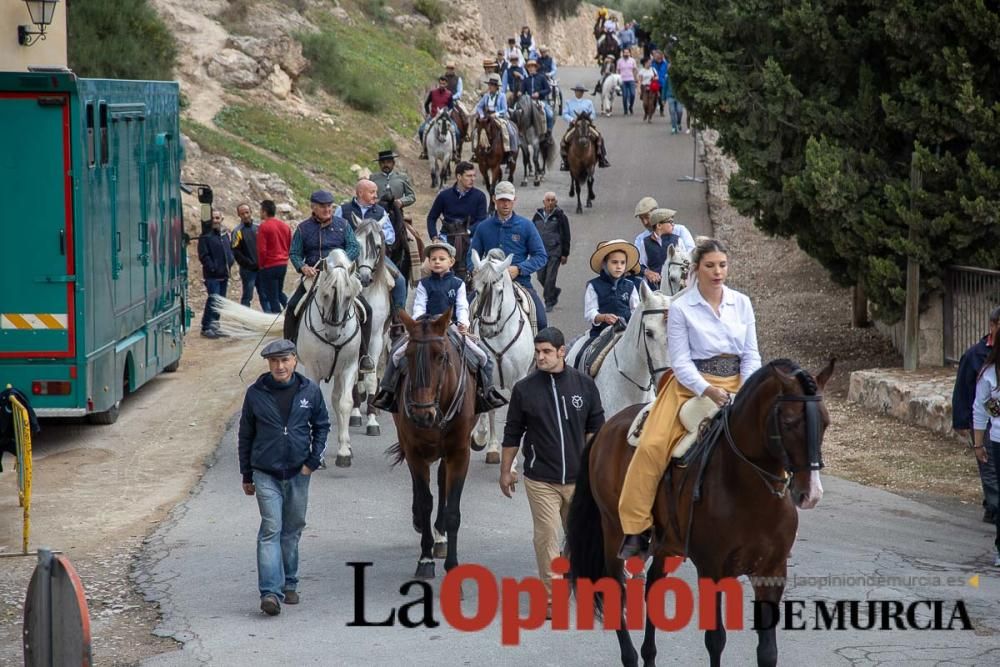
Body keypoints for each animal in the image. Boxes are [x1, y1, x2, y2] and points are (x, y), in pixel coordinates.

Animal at [213, 248, 366, 468]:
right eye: (325, 295)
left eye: (348, 297)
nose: (332, 334)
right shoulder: (313, 369)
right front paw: (315, 454)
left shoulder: (349, 367)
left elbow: (345, 402)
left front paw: (344, 452)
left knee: (337, 400)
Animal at [386, 310, 476, 580]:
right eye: (408, 356)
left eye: (441, 356)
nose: (422, 415)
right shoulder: (414, 452)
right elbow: (425, 501)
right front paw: (425, 559)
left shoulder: (460, 453)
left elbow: (453, 509)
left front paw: (452, 563)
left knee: (442, 479)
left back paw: (440, 535)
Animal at [470, 248, 540, 462]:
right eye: (477, 290)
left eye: (500, 291)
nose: (487, 329)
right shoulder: (487, 376)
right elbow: (489, 410)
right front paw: (482, 439)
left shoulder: (518, 379)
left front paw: (514, 461)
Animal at [564, 360, 836, 667]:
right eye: (789, 422)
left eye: (825, 422)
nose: (810, 493)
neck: (749, 489)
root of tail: (607, 427)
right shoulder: (712, 570)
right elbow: (715, 640)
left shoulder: (771, 572)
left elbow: (767, 652)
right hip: (612, 532)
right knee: (615, 590)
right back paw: (631, 657)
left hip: (665, 545)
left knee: (653, 587)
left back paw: (649, 655)